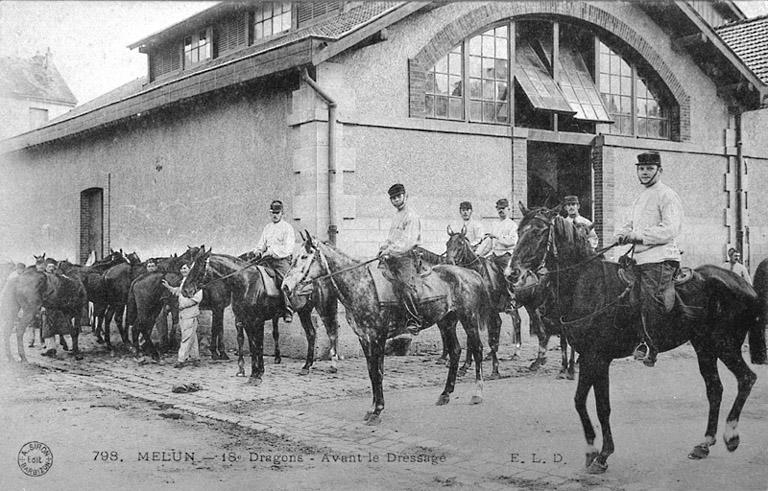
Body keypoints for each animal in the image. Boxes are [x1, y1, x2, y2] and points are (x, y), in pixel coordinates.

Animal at [284, 234, 492, 426]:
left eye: (304, 256)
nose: (285, 286)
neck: (361, 285)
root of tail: (471, 273)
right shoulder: (364, 338)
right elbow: (372, 372)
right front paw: (372, 408)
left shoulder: (378, 338)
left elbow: (378, 373)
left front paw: (377, 411)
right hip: (447, 322)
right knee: (455, 351)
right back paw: (445, 394)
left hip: (469, 319)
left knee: (478, 350)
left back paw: (478, 393)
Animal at [508, 203, 764, 472]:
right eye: (519, 230)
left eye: (538, 233)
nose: (512, 273)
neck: (588, 284)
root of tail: (744, 284)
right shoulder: (587, 357)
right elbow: (579, 400)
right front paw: (591, 450)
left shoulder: (598, 358)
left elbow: (602, 406)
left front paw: (604, 455)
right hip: (704, 347)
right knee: (715, 389)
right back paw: (704, 444)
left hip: (725, 345)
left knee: (746, 379)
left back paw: (731, 435)